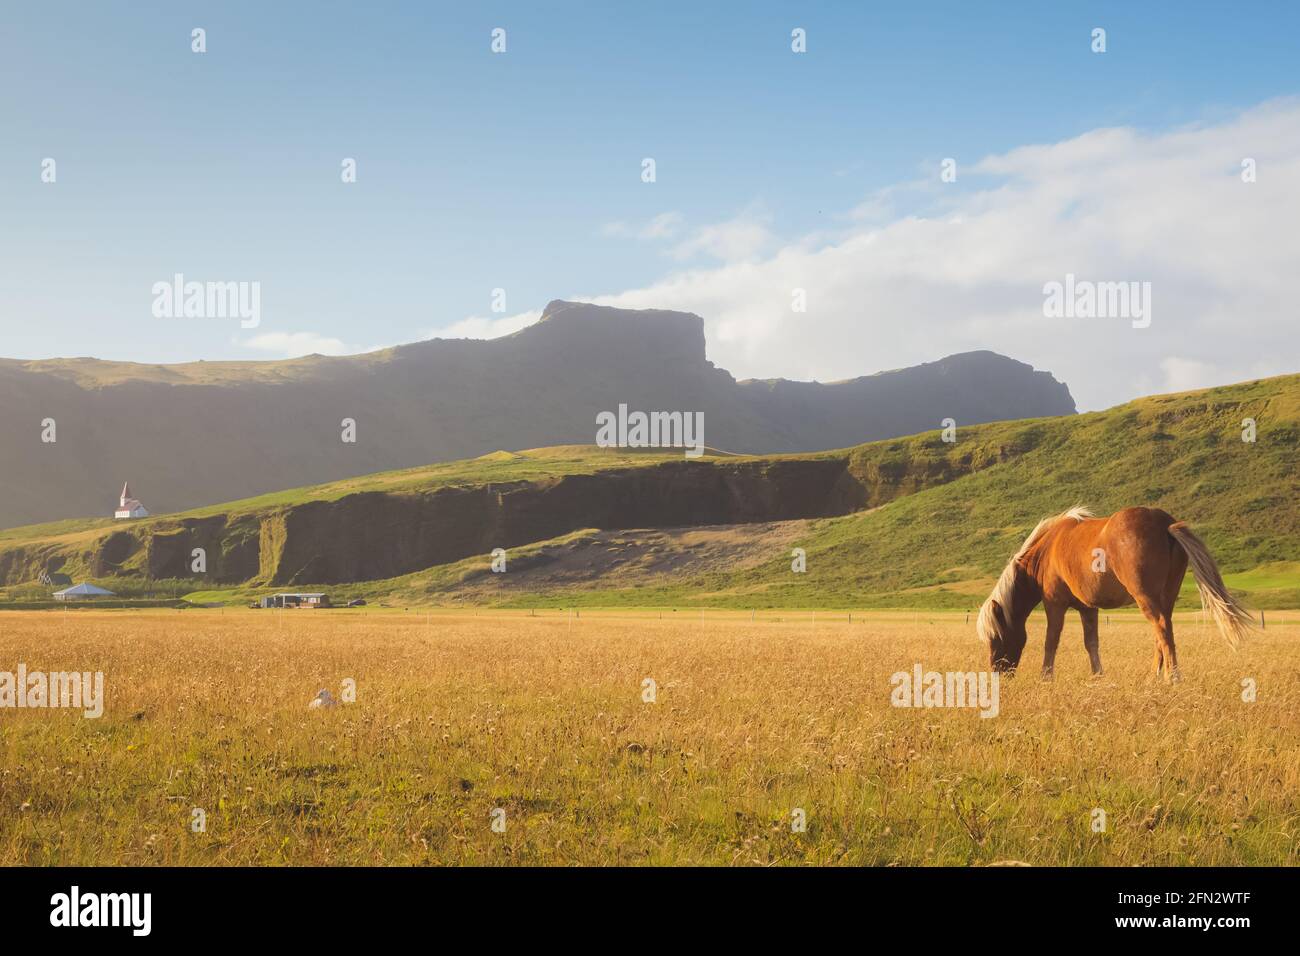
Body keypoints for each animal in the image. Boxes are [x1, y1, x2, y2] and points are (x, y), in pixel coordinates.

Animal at [976, 506, 1255, 682]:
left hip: (1146, 597)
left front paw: (1046, 677)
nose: (998, 674)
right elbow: (1091, 643)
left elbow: (1051, 641)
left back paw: (1171, 677)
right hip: (1166, 597)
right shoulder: (1088, 608)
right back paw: (1153, 677)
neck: (1046, 551)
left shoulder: (1054, 603)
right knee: (1162, 632)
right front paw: (1098, 675)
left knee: (1162, 629)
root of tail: (1166, 525)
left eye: (995, 637)